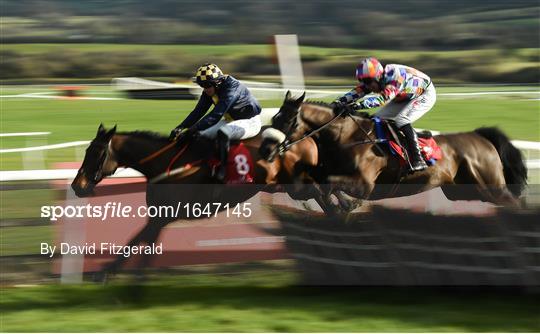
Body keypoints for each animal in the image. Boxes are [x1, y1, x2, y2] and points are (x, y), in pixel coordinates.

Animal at [70, 124, 334, 278]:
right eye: (86, 151)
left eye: (96, 153)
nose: (77, 186)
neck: (166, 165)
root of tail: (300, 137)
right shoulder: (159, 216)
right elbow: (142, 244)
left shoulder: (165, 215)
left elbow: (134, 241)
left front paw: (106, 272)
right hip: (290, 185)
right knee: (323, 193)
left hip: (297, 184)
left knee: (324, 192)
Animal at [260, 91, 528, 206]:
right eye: (274, 118)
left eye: (289, 121)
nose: (265, 149)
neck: (346, 137)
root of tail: (480, 136)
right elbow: (314, 185)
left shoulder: (364, 185)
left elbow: (331, 186)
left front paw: (346, 205)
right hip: (464, 189)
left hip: (491, 185)